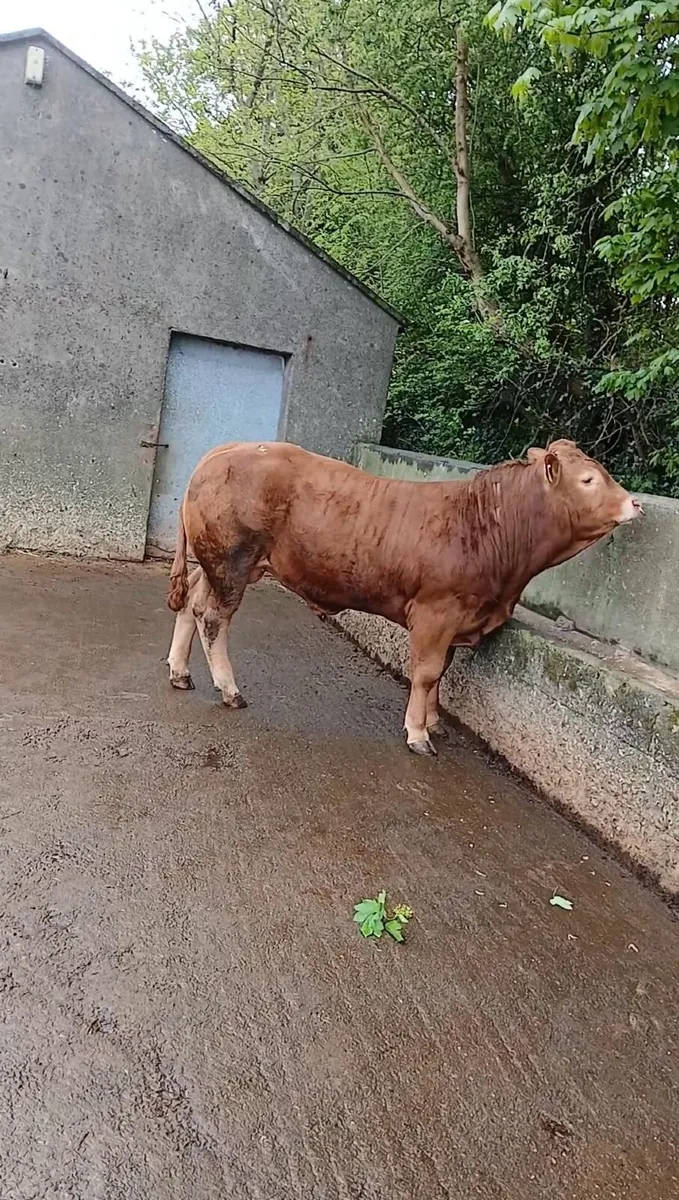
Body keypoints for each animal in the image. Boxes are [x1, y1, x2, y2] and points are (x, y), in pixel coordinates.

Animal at [166, 439, 642, 755]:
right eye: (588, 479)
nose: (635, 503)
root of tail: (227, 450)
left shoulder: (458, 617)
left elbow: (442, 672)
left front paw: (433, 721)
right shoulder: (436, 611)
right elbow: (428, 672)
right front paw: (418, 733)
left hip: (219, 563)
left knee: (191, 600)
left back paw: (179, 671)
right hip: (232, 561)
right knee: (213, 617)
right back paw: (229, 689)